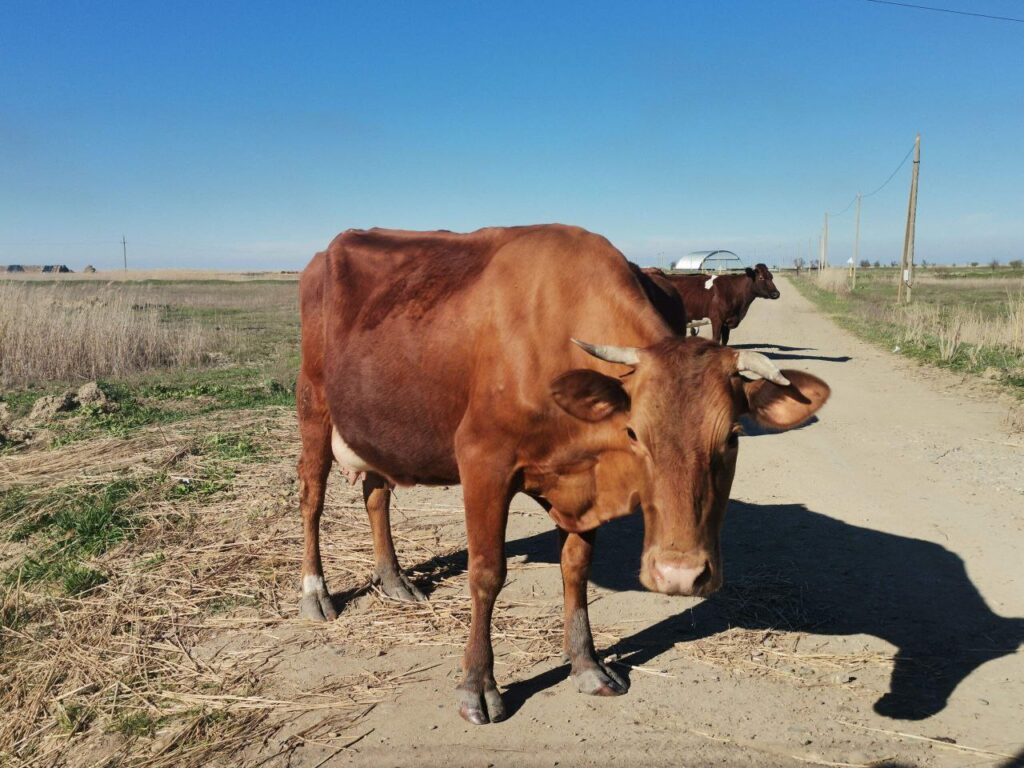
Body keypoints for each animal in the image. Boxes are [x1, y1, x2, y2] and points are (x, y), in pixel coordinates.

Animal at [645, 264, 781, 345]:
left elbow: (725, 341)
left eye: (772, 276)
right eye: (761, 277)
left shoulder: (727, 321)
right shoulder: (716, 319)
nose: (776, 294)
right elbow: (716, 339)